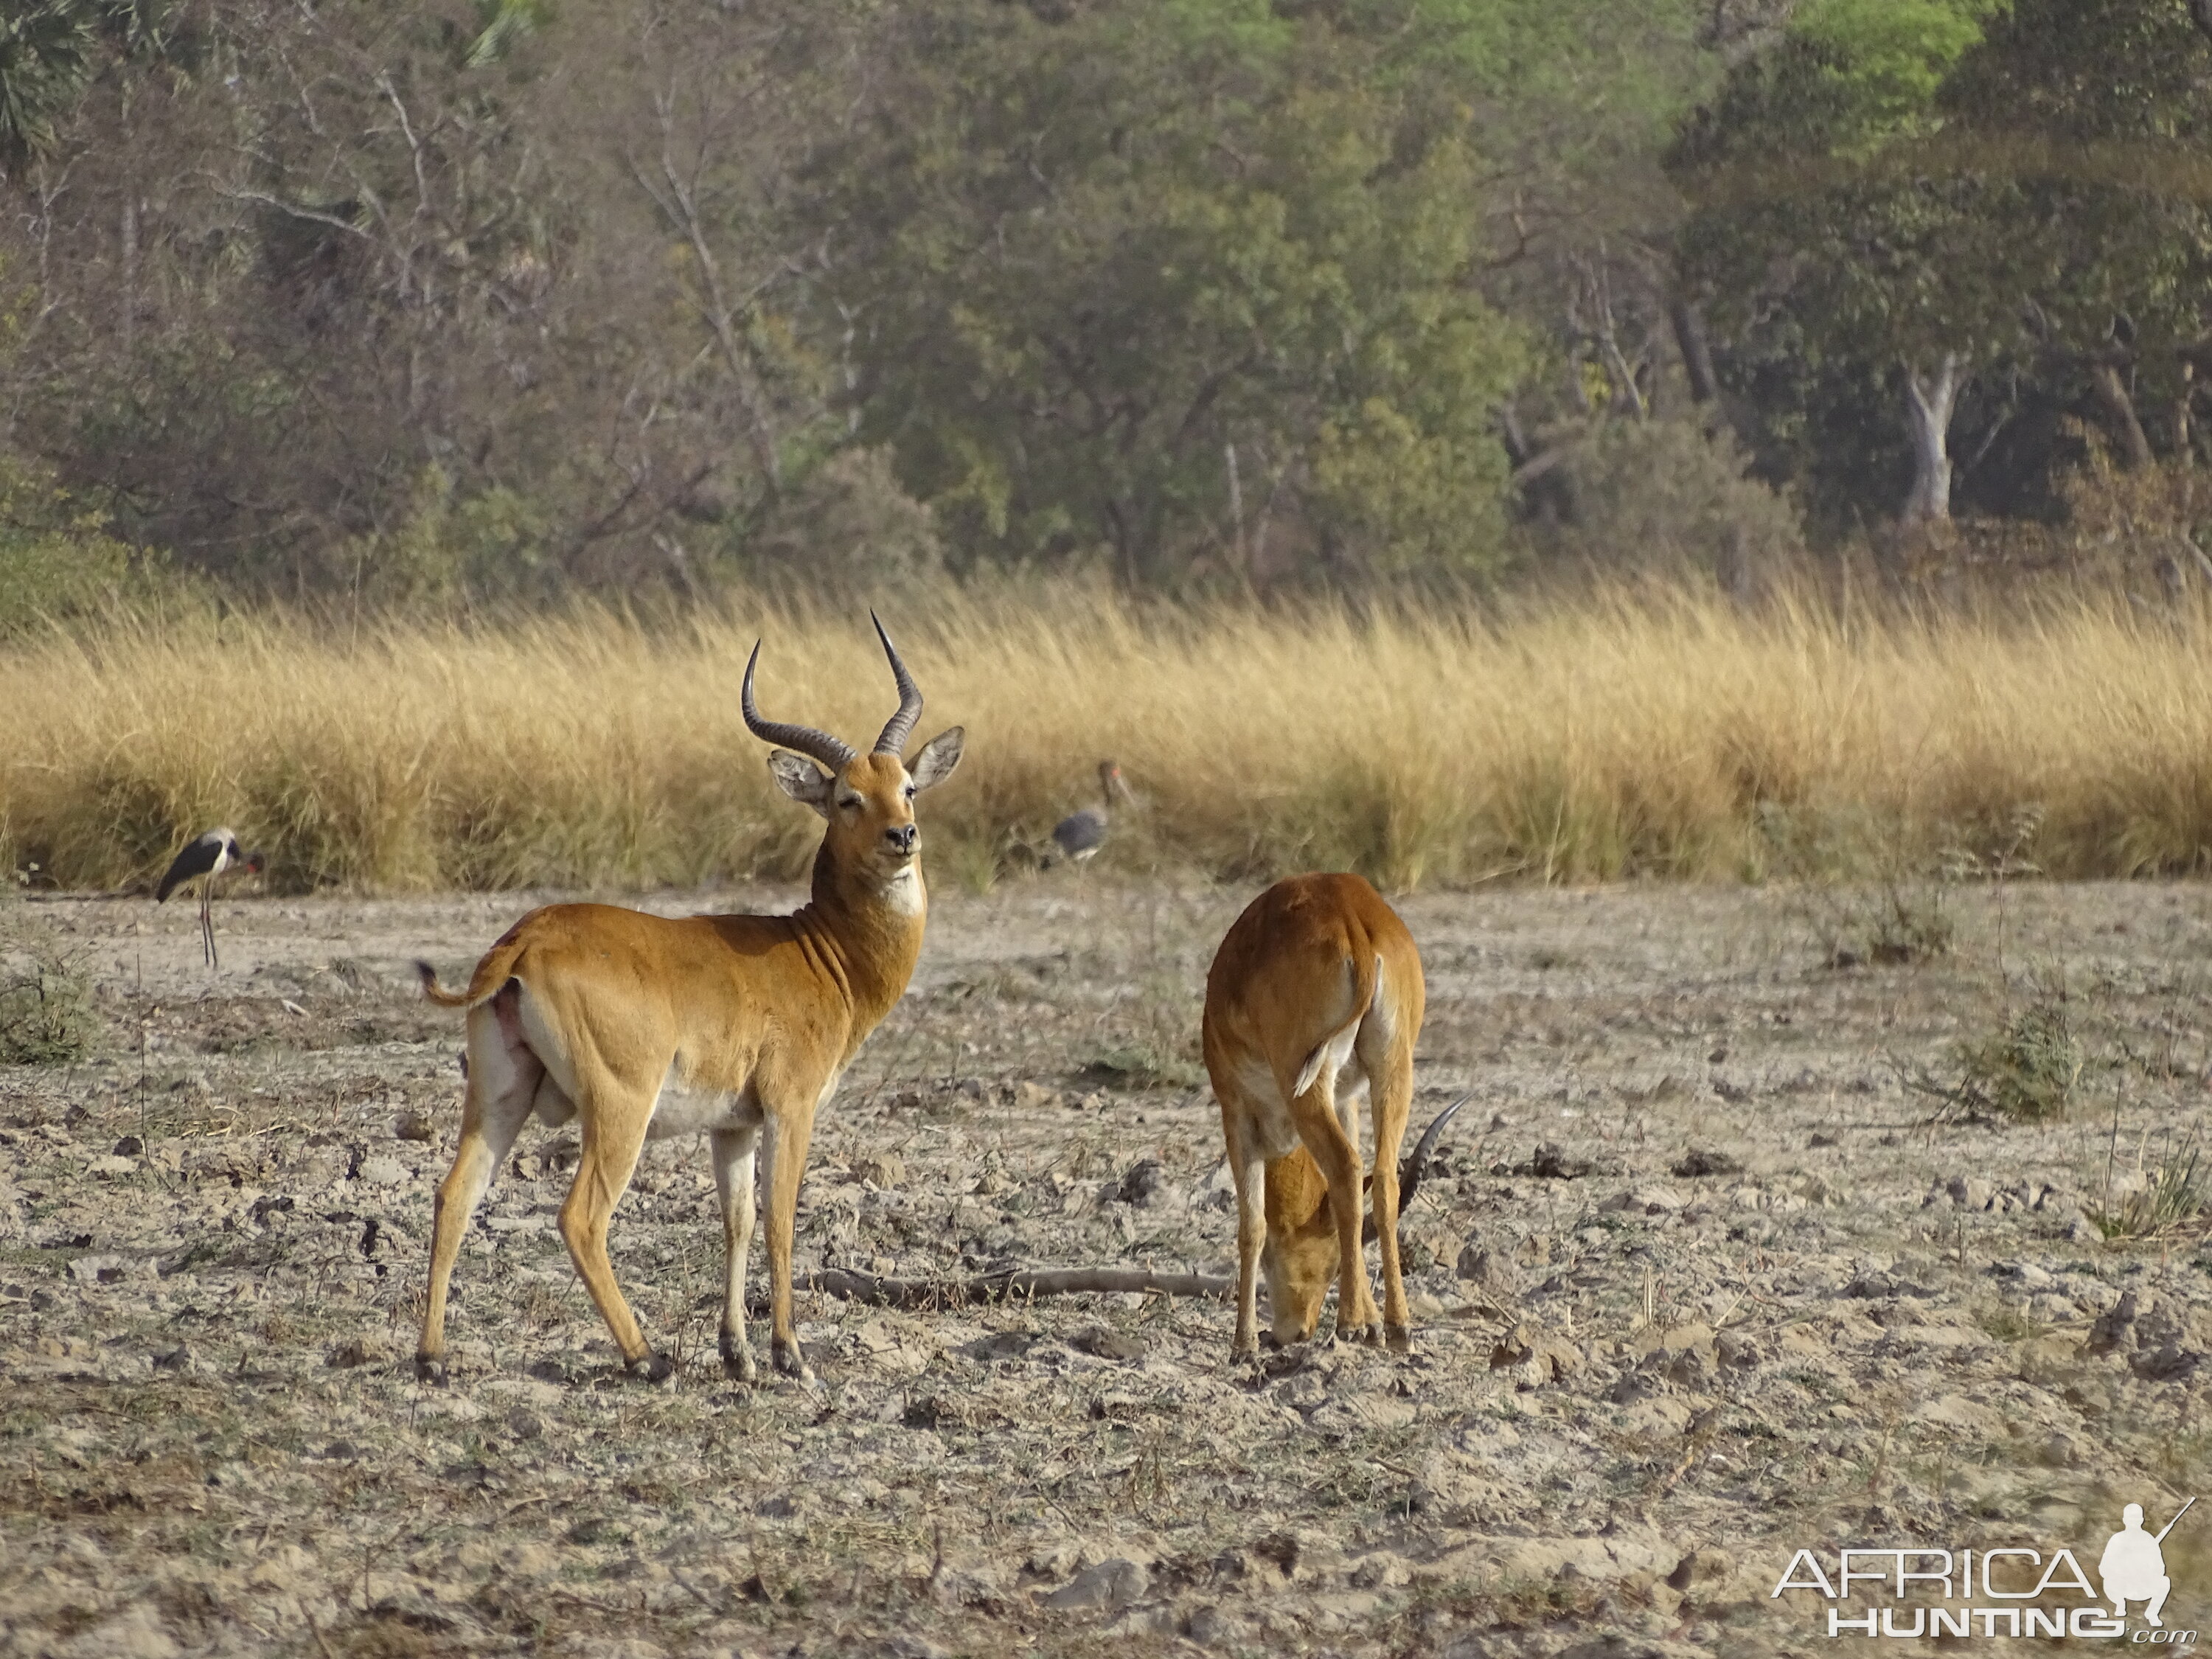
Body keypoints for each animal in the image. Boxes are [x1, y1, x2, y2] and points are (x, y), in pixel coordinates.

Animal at [414, 619, 960, 1389]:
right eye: (848, 797)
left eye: (908, 787)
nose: (903, 836)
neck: (819, 952)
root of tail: (523, 942)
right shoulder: (790, 1110)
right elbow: (781, 1219)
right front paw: (791, 1355)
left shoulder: (731, 1126)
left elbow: (736, 1222)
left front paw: (738, 1355)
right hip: (621, 1109)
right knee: (580, 1217)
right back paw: (646, 1358)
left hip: (500, 1096)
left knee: (455, 1194)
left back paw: (432, 1358)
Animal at [1212, 876, 1433, 1354]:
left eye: (1332, 1267)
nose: (1295, 1332)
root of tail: (1352, 916)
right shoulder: (1346, 1100)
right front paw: (1372, 1321)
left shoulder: (1235, 1112)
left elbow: (1252, 1226)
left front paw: (1243, 1344)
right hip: (1393, 1071)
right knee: (1381, 1177)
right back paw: (1397, 1326)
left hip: (1307, 1090)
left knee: (1347, 1168)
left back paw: (1349, 1324)